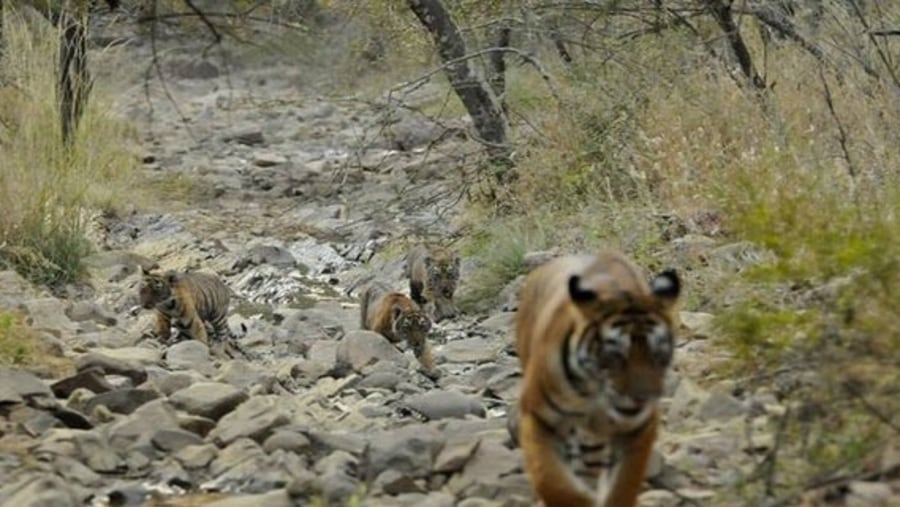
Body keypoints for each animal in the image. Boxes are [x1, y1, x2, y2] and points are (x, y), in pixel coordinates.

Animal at [512, 251, 684, 507]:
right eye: (615, 355)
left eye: (658, 354)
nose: (642, 398)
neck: (594, 392)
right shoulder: (537, 418)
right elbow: (552, 482)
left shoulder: (639, 428)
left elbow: (623, 486)